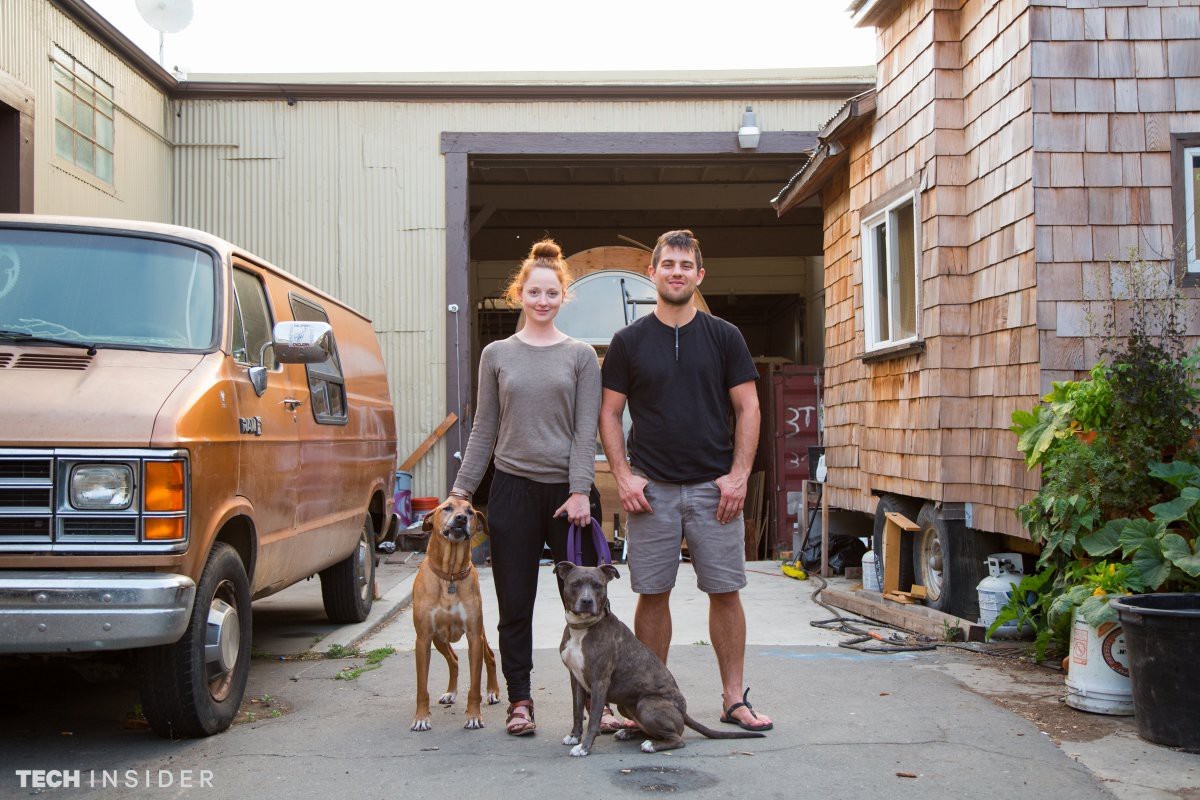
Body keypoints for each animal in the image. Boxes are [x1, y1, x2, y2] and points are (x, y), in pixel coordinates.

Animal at [410, 496, 499, 734]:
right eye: (447, 508)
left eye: (470, 512)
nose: (460, 519)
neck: (449, 574)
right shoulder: (423, 639)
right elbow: (421, 687)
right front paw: (421, 718)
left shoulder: (474, 636)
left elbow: (474, 686)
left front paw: (474, 717)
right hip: (438, 639)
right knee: (454, 659)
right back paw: (451, 692)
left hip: (481, 635)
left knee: (490, 657)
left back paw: (493, 692)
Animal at [554, 561, 768, 753]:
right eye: (575, 584)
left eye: (599, 585)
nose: (587, 601)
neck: (582, 629)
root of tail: (683, 712)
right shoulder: (576, 679)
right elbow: (577, 710)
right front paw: (574, 737)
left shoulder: (600, 681)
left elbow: (594, 718)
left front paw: (585, 747)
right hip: (625, 704)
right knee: (652, 731)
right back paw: (629, 733)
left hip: (646, 705)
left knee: (677, 739)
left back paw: (651, 745)